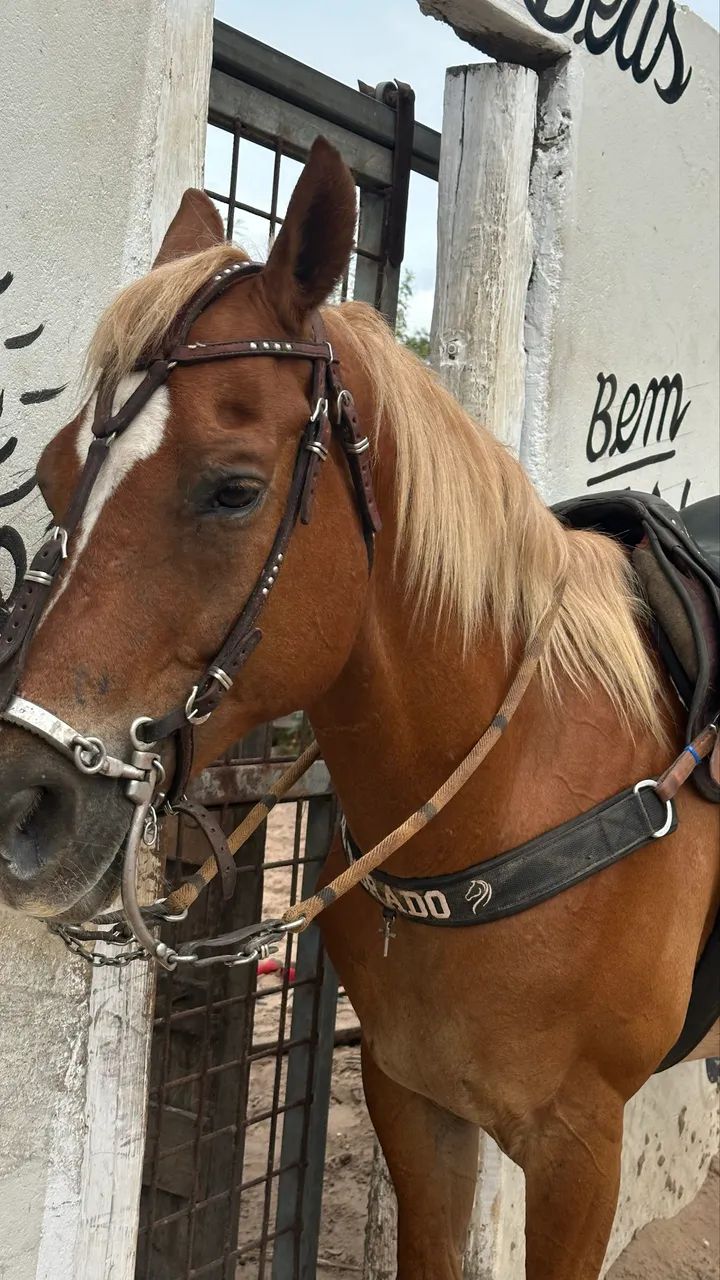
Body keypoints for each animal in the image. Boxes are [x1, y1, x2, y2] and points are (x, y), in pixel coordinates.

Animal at [0, 138, 717, 1280]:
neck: (510, 797)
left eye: (235, 489)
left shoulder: (580, 1152)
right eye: (60, 469)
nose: (22, 806)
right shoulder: (412, 1101)